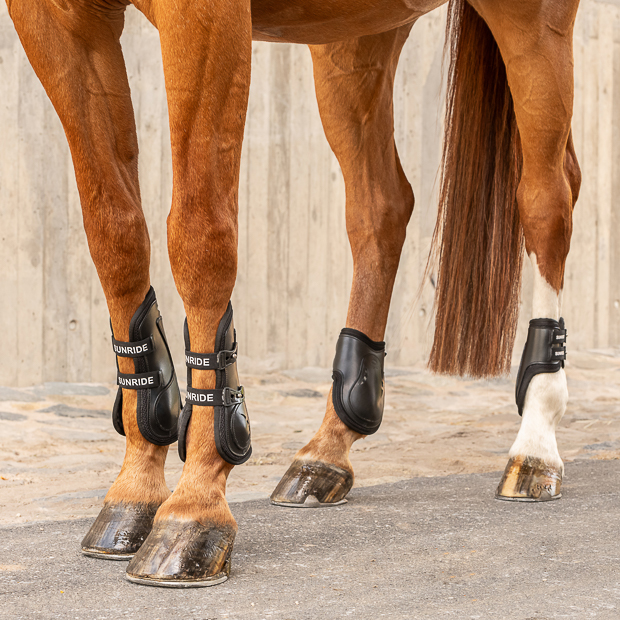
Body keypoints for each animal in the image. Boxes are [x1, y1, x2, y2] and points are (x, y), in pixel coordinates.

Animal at [6, 0, 580, 588]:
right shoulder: (58, 23)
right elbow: (114, 233)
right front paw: (135, 492)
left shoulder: (205, 21)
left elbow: (200, 236)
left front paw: (194, 510)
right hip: (353, 42)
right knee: (382, 205)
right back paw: (326, 452)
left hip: (532, 23)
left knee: (546, 197)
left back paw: (536, 444)